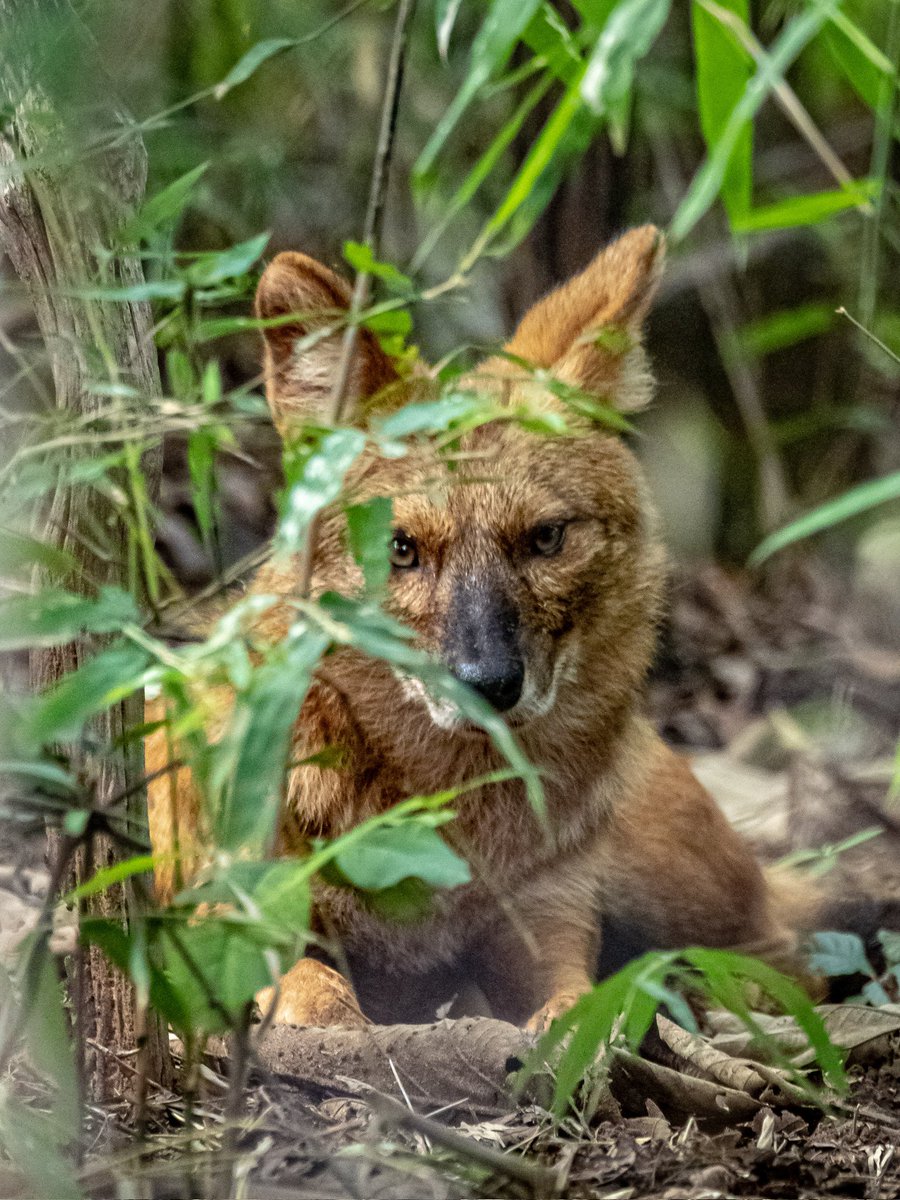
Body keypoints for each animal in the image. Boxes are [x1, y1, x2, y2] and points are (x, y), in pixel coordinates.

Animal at [148, 226, 816, 1032]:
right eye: (401, 549)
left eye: (546, 538)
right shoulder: (226, 919)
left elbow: (575, 1002)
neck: (449, 806)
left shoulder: (546, 916)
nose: (489, 684)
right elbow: (316, 993)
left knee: (790, 962)